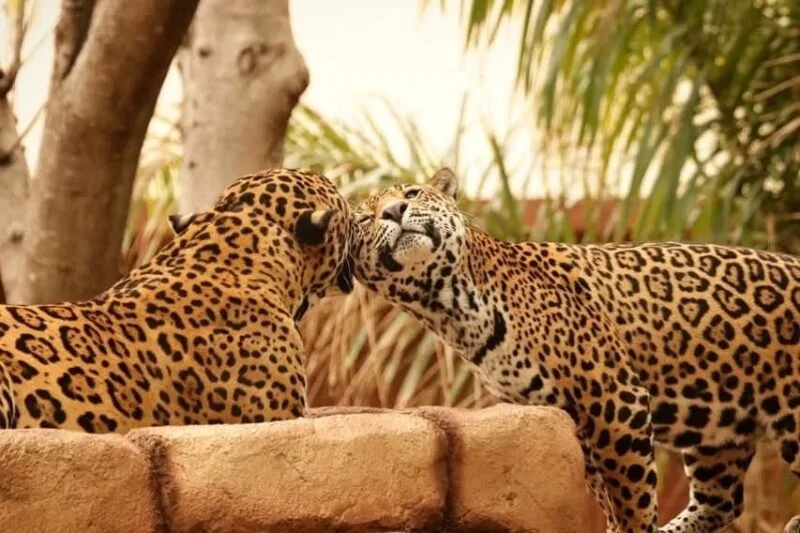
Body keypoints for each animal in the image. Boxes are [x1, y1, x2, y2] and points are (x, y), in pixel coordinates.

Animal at [349, 167, 800, 533]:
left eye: (411, 193)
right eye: (366, 219)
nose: (394, 211)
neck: (448, 303)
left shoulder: (615, 399)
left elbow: (631, 495)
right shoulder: (570, 417)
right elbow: (606, 492)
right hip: (719, 429)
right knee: (722, 502)